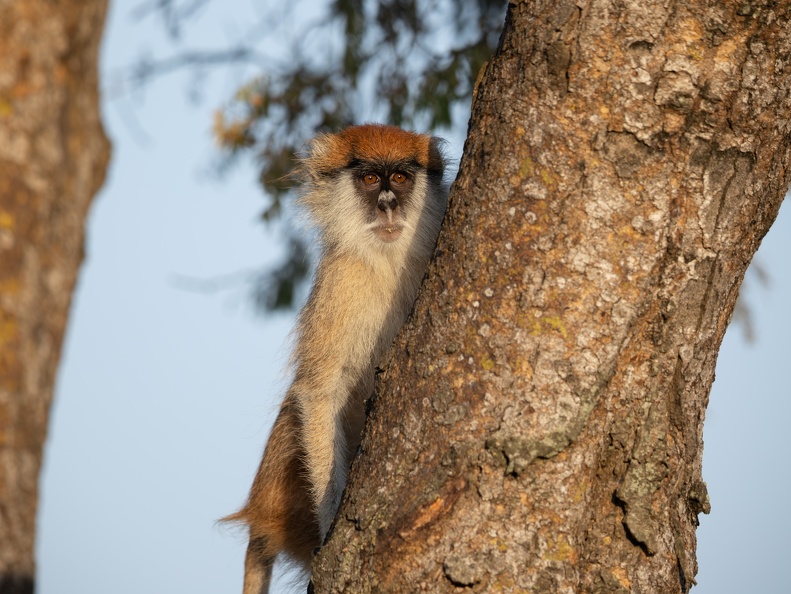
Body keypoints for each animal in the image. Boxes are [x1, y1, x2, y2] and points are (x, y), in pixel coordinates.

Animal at [225, 124, 448, 594]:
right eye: (370, 178)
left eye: (401, 177)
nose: (387, 205)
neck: (387, 263)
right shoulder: (340, 283)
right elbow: (317, 394)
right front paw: (332, 523)